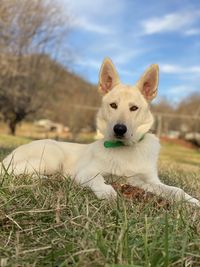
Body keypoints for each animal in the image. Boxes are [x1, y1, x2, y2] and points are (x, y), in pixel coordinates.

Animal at [0, 57, 199, 206]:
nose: (119, 129)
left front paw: (192, 200)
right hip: (51, 158)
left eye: (134, 108)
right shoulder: (85, 172)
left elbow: (175, 190)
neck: (124, 148)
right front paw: (107, 192)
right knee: (11, 172)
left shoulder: (147, 181)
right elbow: (97, 179)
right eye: (113, 105)